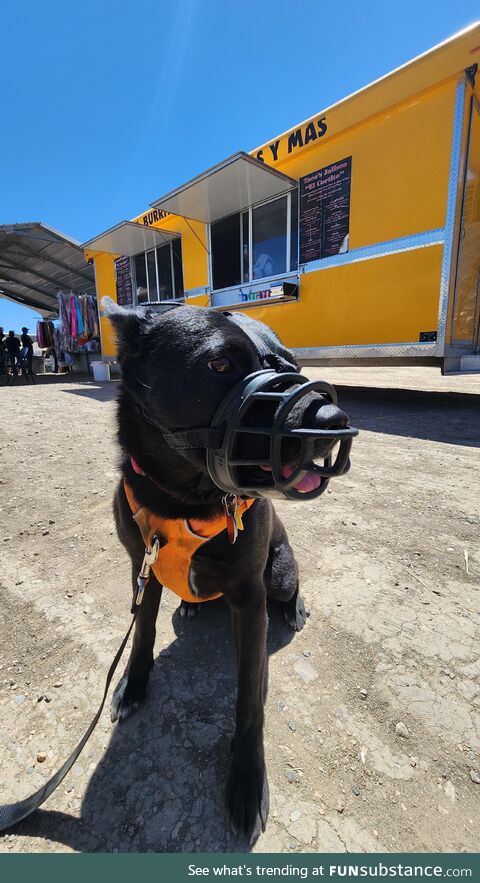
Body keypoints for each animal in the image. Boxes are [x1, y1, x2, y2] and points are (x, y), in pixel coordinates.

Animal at [105, 300, 348, 848]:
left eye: (292, 364)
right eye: (219, 365)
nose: (333, 419)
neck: (183, 504)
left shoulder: (250, 597)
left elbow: (249, 700)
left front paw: (246, 781)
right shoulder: (140, 569)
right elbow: (143, 633)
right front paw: (134, 684)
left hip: (280, 572)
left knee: (291, 583)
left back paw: (295, 607)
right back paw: (190, 607)